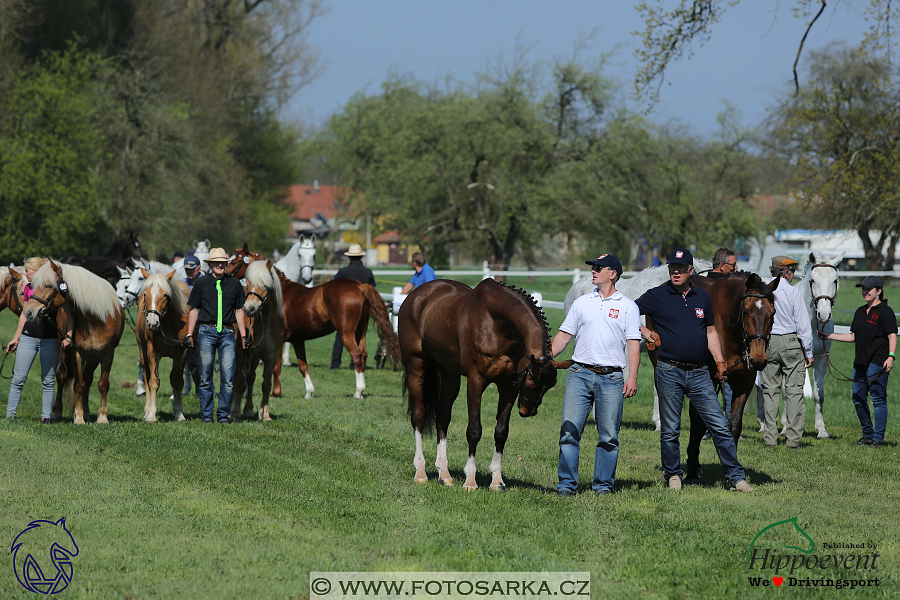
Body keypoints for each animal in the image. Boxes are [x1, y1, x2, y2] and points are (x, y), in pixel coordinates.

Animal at [23, 262, 125, 422]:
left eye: (48, 285)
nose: (29, 312)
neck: (96, 320)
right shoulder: (77, 353)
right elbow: (79, 385)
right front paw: (78, 417)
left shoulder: (107, 354)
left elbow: (102, 384)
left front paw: (102, 417)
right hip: (65, 351)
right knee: (63, 377)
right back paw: (58, 412)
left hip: (92, 358)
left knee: (88, 379)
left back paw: (87, 413)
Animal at [133, 270, 189, 420]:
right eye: (145, 294)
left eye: (165, 295)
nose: (152, 323)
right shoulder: (152, 352)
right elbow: (153, 381)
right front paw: (151, 414)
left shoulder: (180, 354)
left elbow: (177, 382)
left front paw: (179, 413)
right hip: (142, 349)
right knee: (146, 375)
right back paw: (147, 409)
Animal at [225, 246, 400, 400]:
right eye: (249, 280)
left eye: (233, 261)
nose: (249, 308)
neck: (281, 295)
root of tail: (360, 286)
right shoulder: (297, 340)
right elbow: (303, 365)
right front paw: (309, 392)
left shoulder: (279, 341)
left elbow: (276, 366)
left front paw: (276, 393)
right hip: (360, 332)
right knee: (363, 355)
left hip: (346, 333)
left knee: (356, 355)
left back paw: (358, 392)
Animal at [402, 278, 568, 490]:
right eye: (532, 382)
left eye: (549, 386)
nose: (527, 411)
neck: (496, 323)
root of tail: (418, 294)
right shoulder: (476, 381)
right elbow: (474, 430)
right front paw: (470, 481)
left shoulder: (508, 386)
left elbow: (501, 431)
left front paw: (497, 480)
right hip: (416, 366)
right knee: (419, 416)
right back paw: (421, 472)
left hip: (449, 372)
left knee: (443, 416)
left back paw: (444, 474)